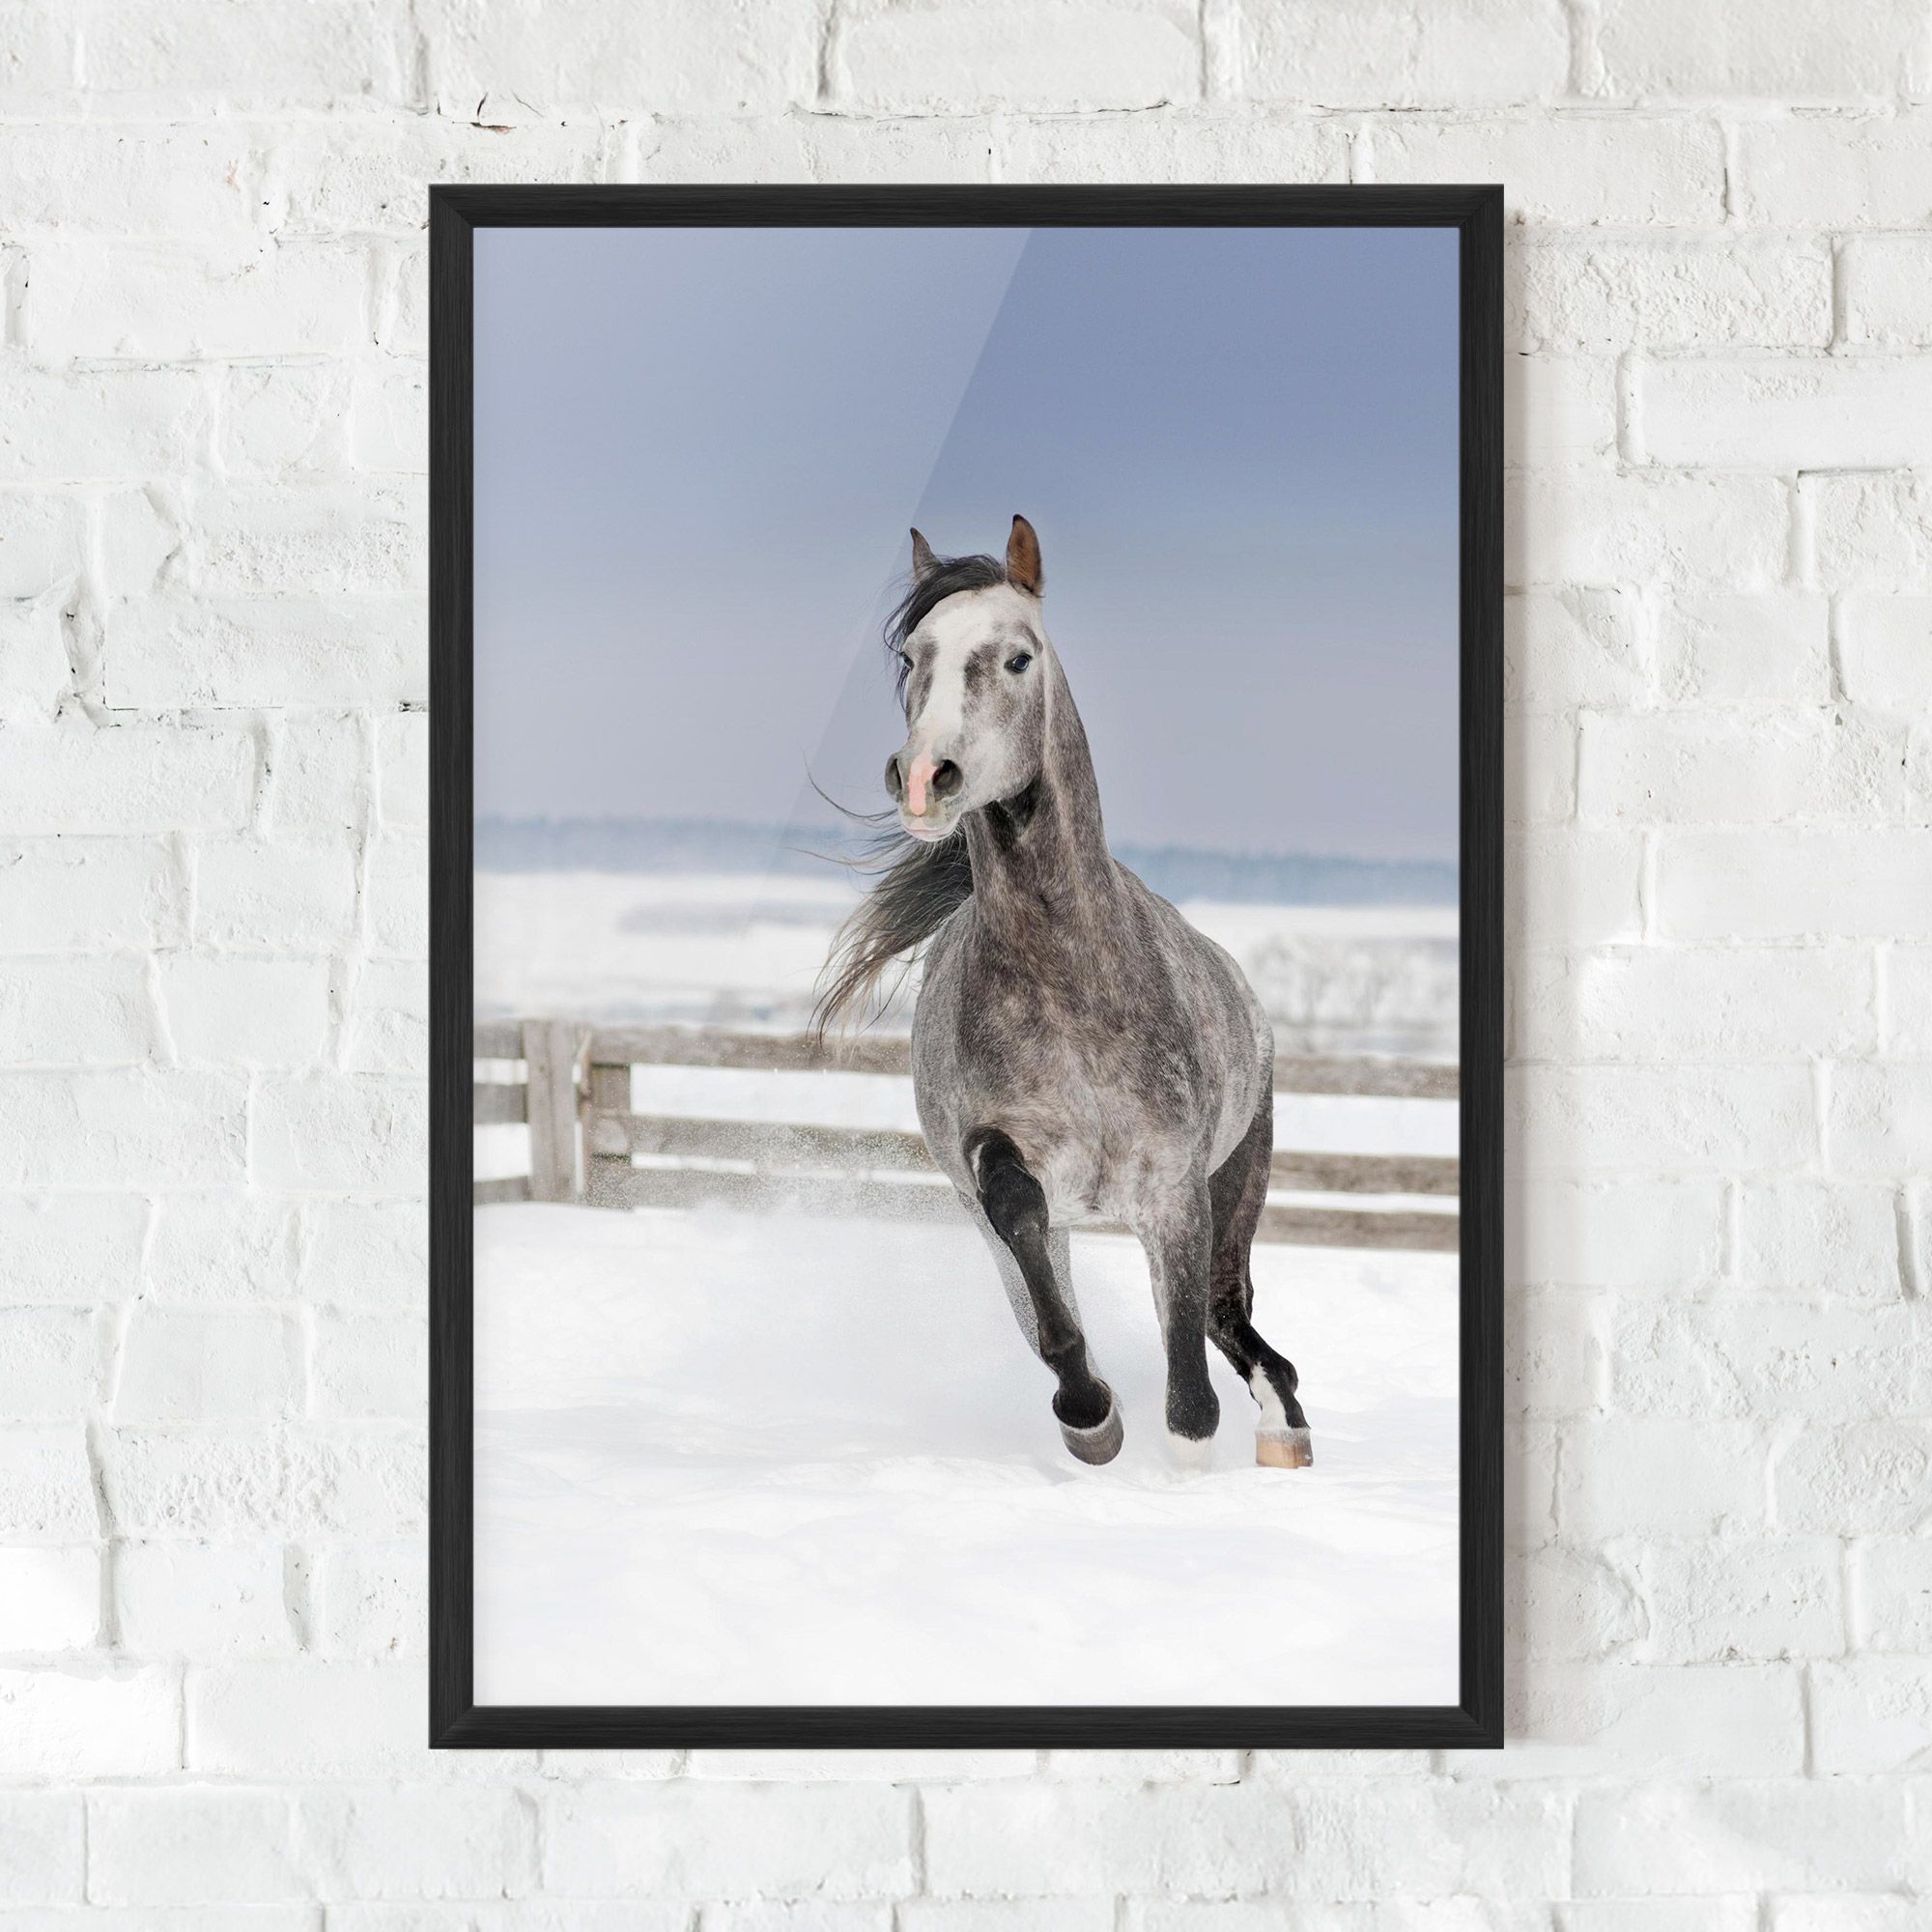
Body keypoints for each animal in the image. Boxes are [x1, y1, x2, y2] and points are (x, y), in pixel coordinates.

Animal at [816, 516, 1312, 1473]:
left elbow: (1189, 1388)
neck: (1071, 987)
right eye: (913, 657)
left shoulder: (1175, 1192)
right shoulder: (1003, 1174)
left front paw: (1185, 1456)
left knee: (1229, 1316)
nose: (924, 777)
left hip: (1237, 1183)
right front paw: (1090, 1416)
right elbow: (1036, 1267)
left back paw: (1284, 1431)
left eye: (1018, 658)